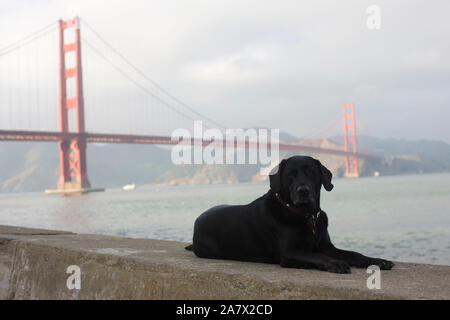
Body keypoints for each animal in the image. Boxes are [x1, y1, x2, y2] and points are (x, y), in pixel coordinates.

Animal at [185, 155, 392, 272]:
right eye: (290, 174)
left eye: (311, 172)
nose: (303, 191)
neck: (306, 215)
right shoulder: (289, 253)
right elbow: (318, 256)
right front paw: (335, 263)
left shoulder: (326, 246)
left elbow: (353, 253)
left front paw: (377, 261)